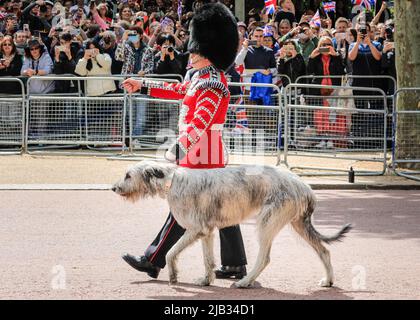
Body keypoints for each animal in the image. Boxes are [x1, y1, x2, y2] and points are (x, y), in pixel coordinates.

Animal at [112, 161, 352, 288]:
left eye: (128, 175)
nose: (114, 188)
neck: (172, 182)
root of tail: (304, 185)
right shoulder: (206, 232)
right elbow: (208, 259)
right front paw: (206, 280)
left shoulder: (195, 229)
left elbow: (171, 251)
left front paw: (173, 276)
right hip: (298, 224)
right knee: (324, 251)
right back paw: (329, 280)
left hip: (267, 222)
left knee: (264, 258)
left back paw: (244, 281)